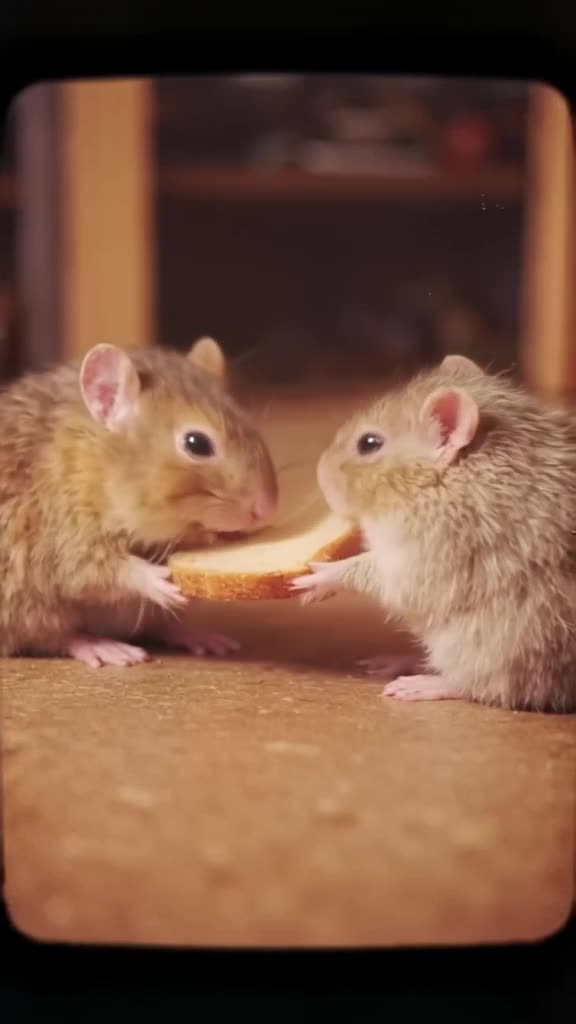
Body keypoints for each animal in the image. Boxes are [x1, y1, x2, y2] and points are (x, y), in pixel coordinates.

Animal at [0, 336, 278, 667]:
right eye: (196, 443)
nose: (267, 510)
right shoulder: (63, 527)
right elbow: (94, 571)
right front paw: (153, 578)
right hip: (28, 609)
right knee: (55, 638)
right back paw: (98, 644)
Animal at [292, 353, 576, 712]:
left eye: (369, 444)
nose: (318, 472)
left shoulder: (433, 547)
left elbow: (378, 575)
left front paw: (326, 576)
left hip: (489, 651)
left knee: (480, 686)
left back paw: (426, 682)